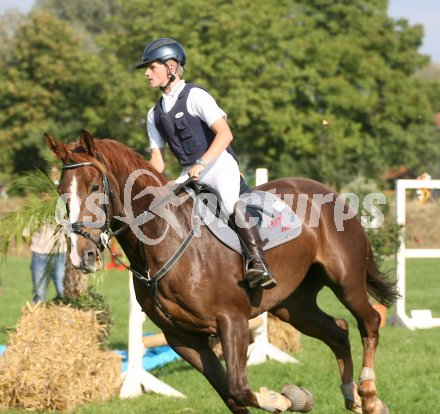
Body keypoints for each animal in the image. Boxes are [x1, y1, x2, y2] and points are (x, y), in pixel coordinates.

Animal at [46, 130, 398, 414]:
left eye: (95, 186)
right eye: (61, 191)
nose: (81, 255)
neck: (165, 239)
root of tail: (329, 192)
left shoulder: (232, 321)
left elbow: (240, 388)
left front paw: (290, 398)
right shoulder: (183, 339)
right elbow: (232, 395)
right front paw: (292, 397)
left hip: (346, 281)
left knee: (369, 322)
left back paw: (369, 396)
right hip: (293, 305)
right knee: (338, 331)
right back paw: (352, 396)